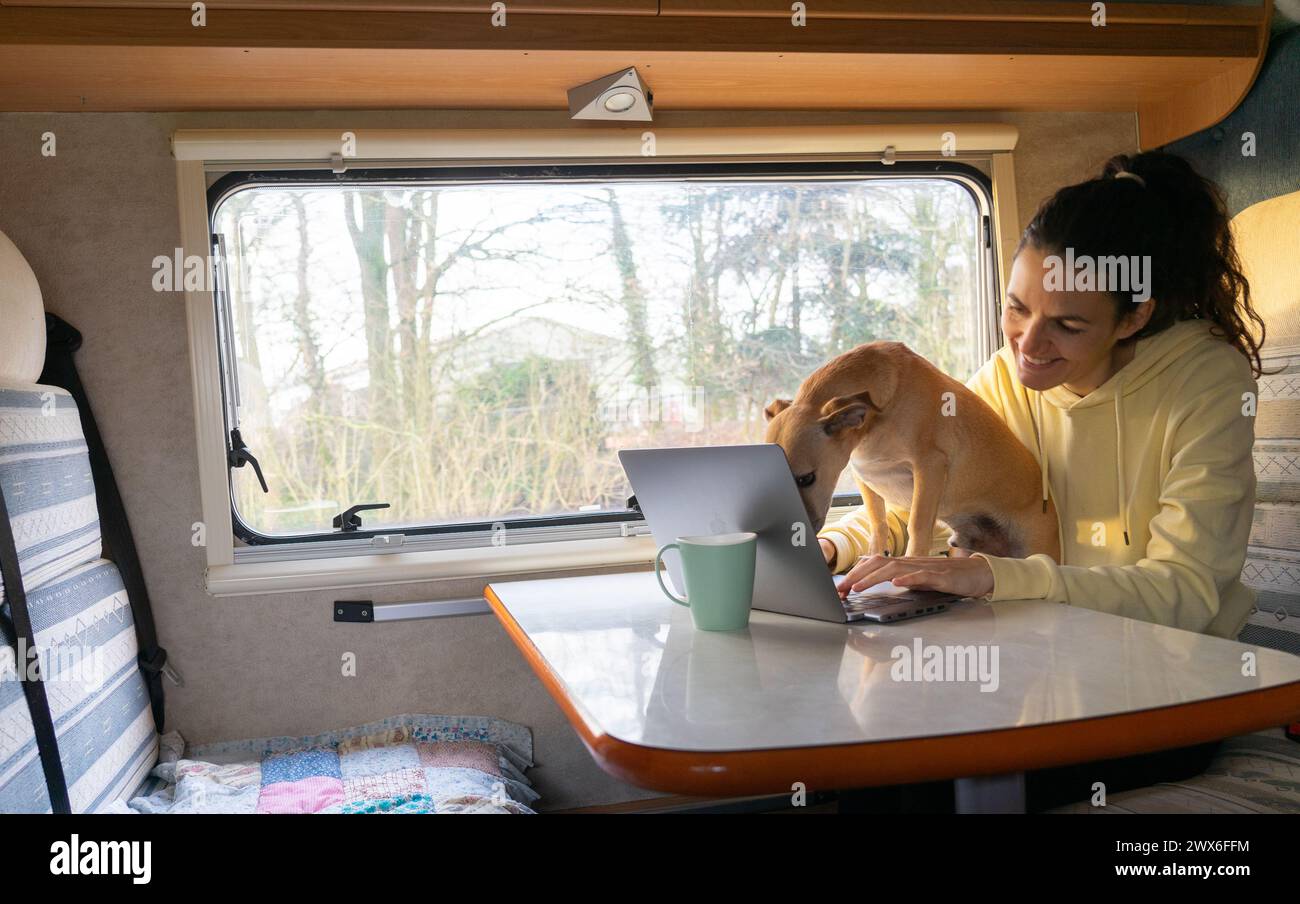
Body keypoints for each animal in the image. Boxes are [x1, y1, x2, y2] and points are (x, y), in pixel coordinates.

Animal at [759, 343, 1055, 561]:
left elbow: (918, 525)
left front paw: (911, 564)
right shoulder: (864, 477)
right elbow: (878, 522)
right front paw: (874, 556)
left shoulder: (929, 467)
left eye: (806, 479)